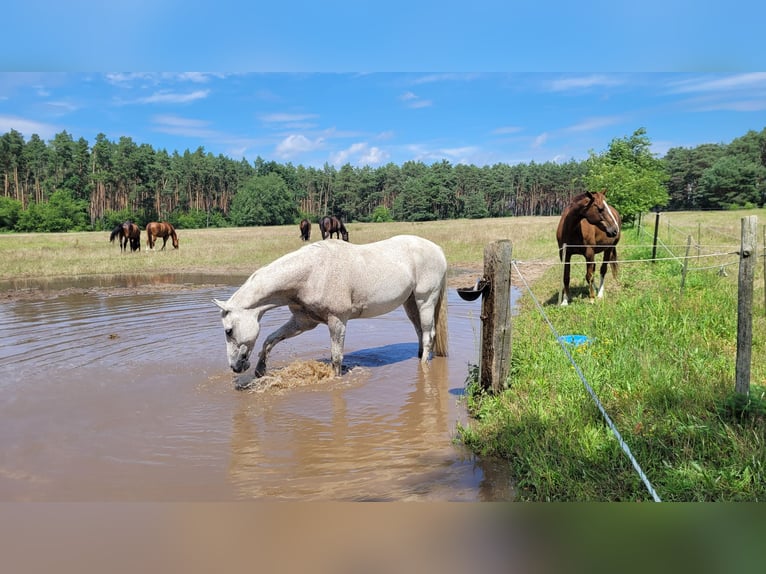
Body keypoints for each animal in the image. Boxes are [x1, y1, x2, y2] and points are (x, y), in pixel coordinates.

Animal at [213, 234, 448, 388]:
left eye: (228, 331)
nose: (235, 367)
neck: (311, 273)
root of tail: (438, 250)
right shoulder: (303, 322)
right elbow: (270, 339)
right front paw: (260, 371)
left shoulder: (337, 321)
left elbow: (336, 357)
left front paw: (334, 382)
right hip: (410, 303)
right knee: (420, 332)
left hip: (425, 300)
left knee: (428, 334)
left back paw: (424, 366)